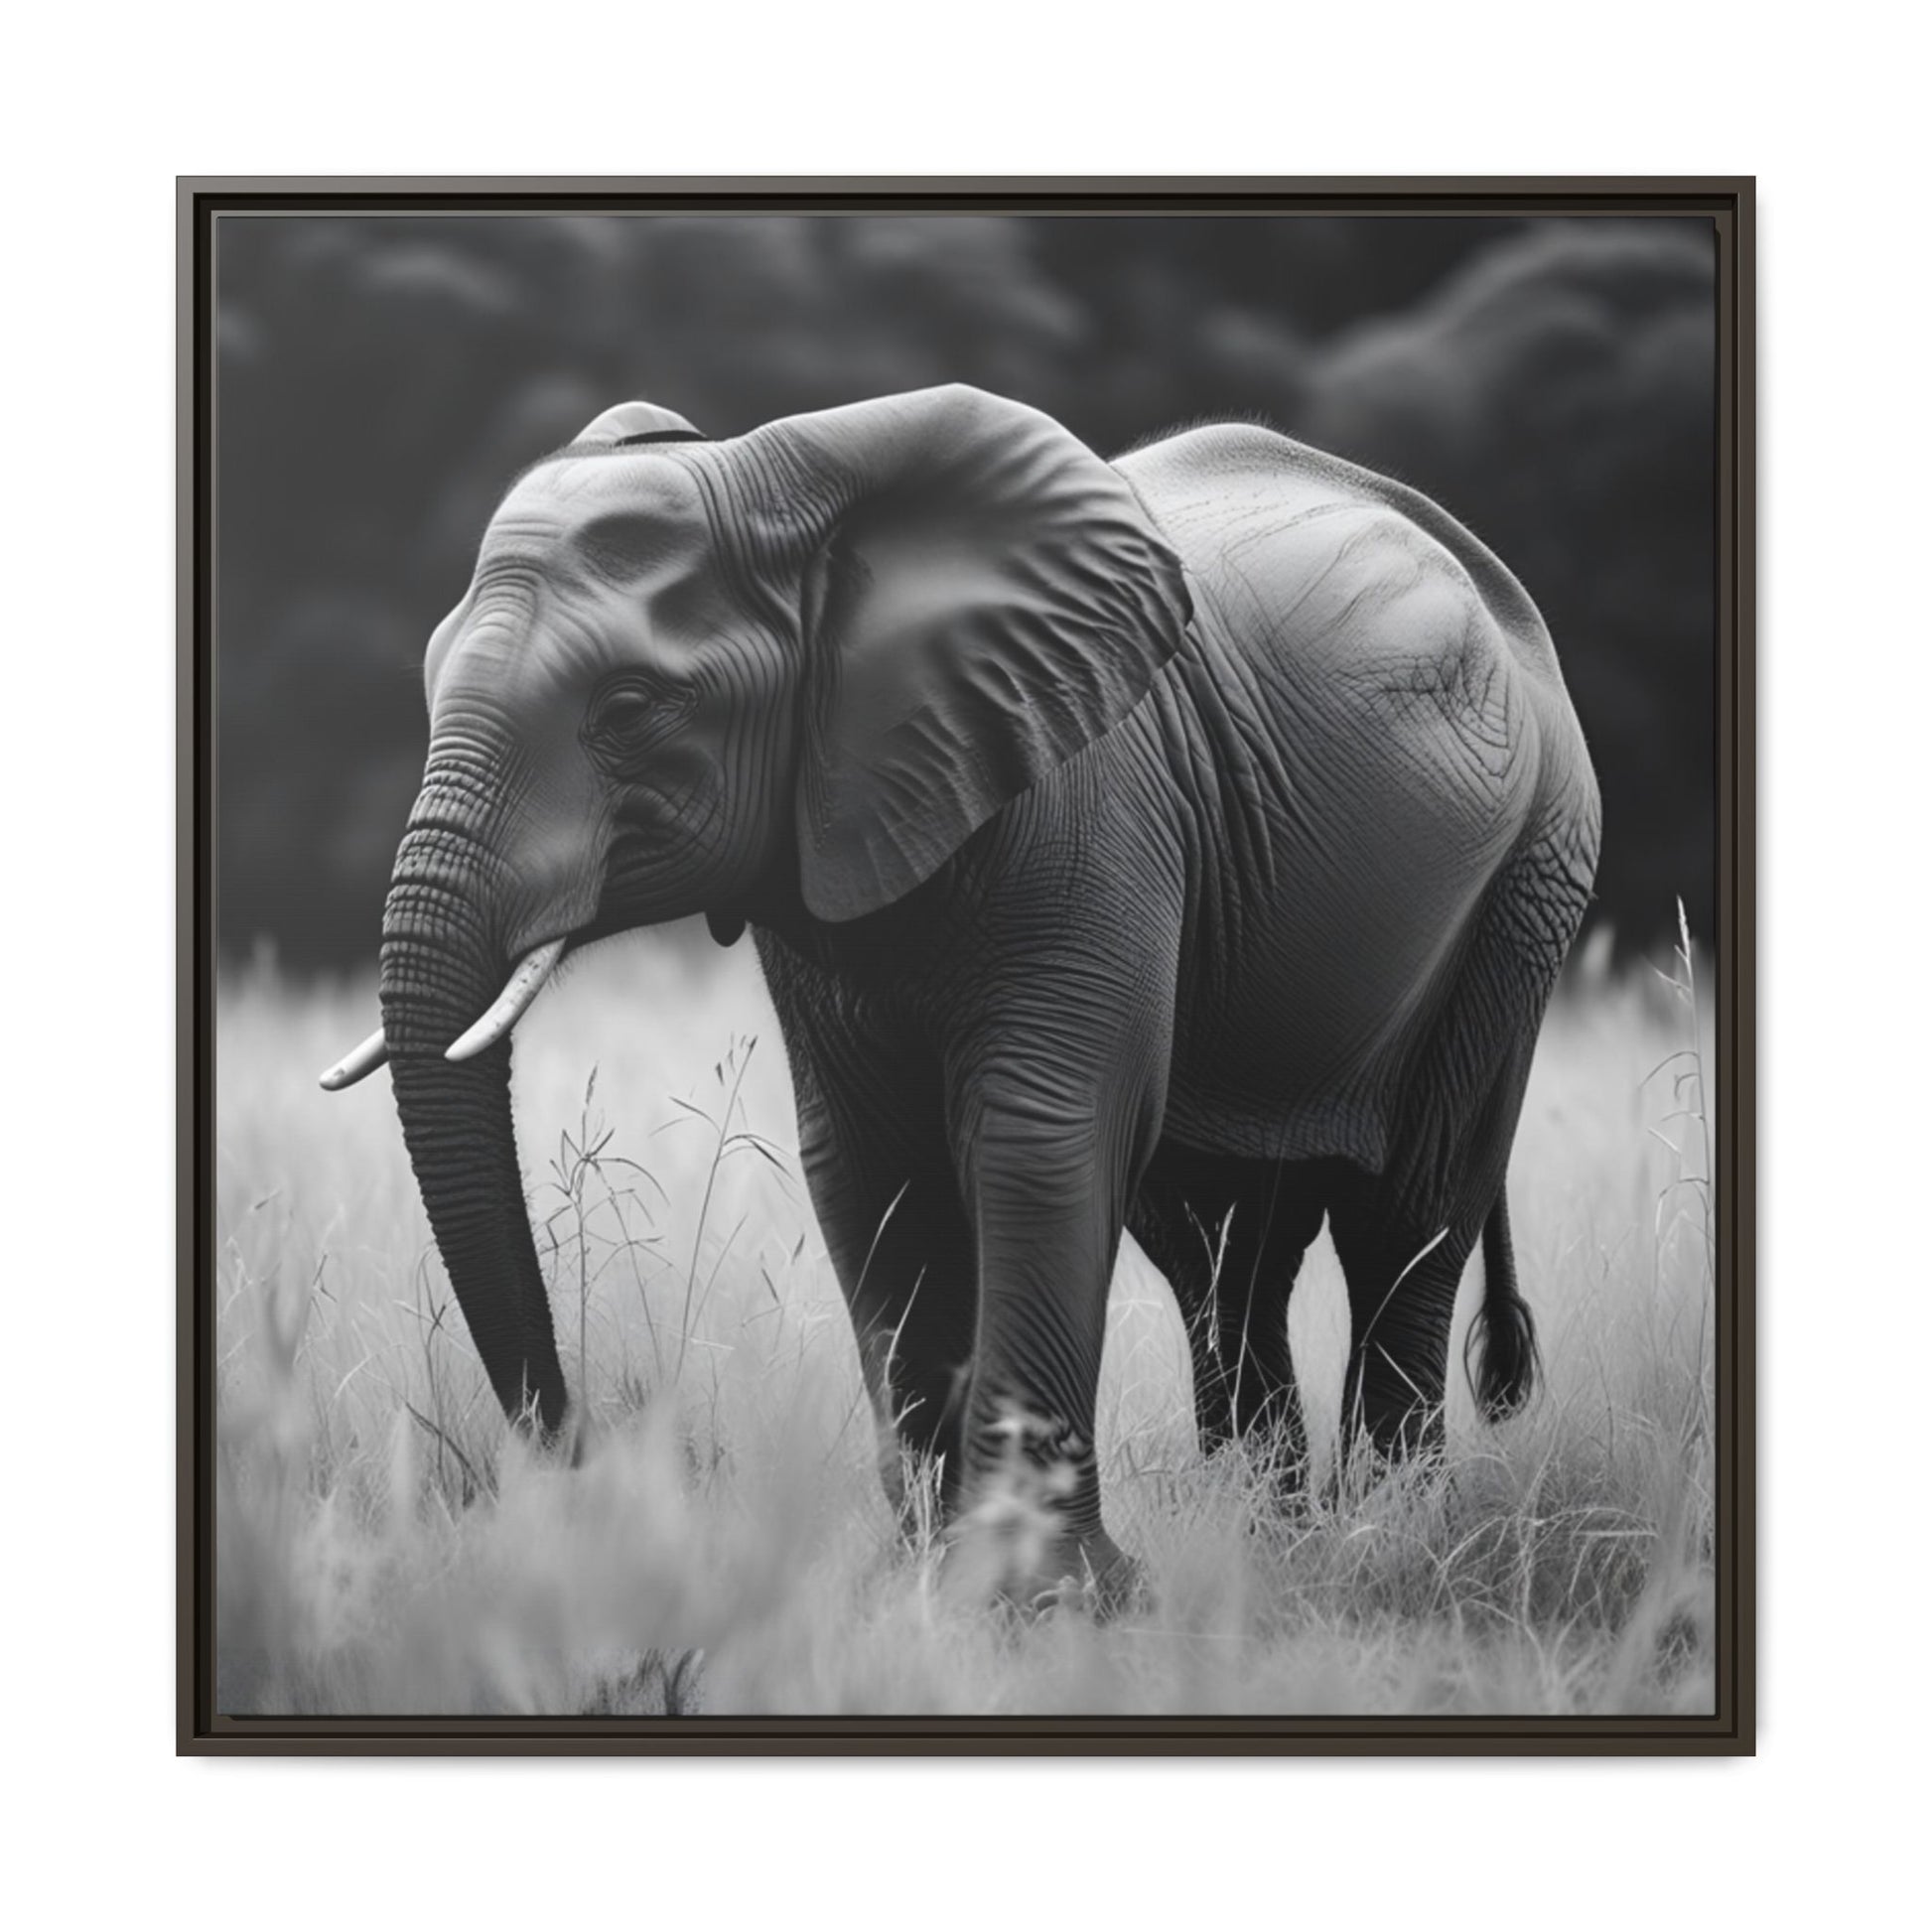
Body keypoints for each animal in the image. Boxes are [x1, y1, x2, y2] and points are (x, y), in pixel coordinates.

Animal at [321, 384, 1601, 1606]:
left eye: (630, 708)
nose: (592, 1470)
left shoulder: (1090, 804)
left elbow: (1038, 1136)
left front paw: (1041, 1602)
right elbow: (864, 1163)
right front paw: (923, 1582)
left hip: (1528, 879)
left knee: (1408, 1211)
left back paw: (1386, 1540)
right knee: (1218, 1246)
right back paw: (1267, 1538)